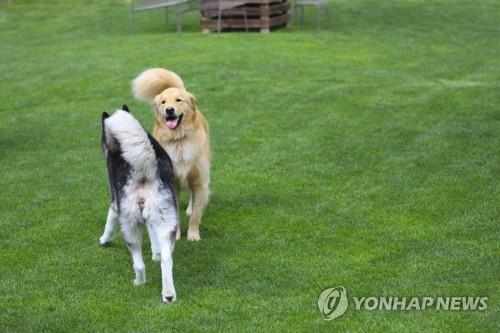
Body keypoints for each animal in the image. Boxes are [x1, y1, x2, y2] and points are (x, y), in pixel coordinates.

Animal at [99, 105, 178, 302]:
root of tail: (143, 173)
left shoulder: (115, 202)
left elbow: (109, 221)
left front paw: (104, 239)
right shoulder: (152, 220)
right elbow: (154, 238)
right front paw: (156, 253)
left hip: (129, 227)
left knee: (139, 264)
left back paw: (139, 282)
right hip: (165, 220)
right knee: (167, 260)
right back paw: (168, 295)